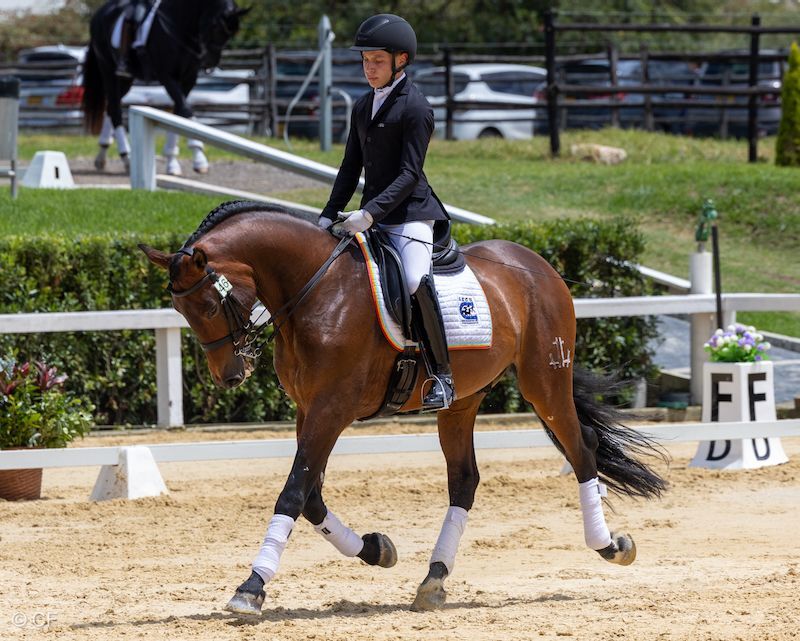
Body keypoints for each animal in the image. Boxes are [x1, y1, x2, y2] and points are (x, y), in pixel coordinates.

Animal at [82, 0, 249, 176]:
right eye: (215, 25)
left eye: (232, 32)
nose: (210, 62)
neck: (179, 27)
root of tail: (100, 13)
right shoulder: (167, 77)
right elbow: (185, 111)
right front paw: (199, 159)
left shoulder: (188, 79)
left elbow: (178, 114)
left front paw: (172, 162)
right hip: (108, 71)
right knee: (115, 110)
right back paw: (127, 157)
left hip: (125, 80)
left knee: (111, 107)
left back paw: (102, 155)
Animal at [139, 200, 667, 615]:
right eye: (181, 311)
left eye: (209, 306)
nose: (231, 375)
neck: (316, 290)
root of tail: (538, 263)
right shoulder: (308, 410)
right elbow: (311, 496)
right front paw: (376, 549)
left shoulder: (331, 409)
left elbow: (292, 493)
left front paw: (251, 588)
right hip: (463, 400)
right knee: (465, 479)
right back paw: (434, 578)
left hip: (545, 378)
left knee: (581, 449)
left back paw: (609, 545)